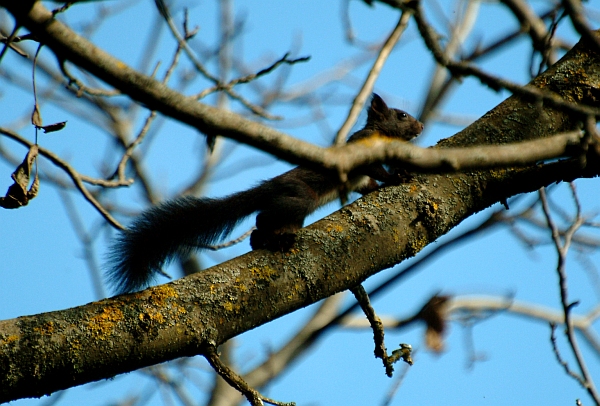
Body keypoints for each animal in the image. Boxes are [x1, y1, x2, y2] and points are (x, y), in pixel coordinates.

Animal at [108, 93, 424, 294]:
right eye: (401, 115)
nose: (420, 126)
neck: (382, 138)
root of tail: (268, 186)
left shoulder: (358, 178)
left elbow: (365, 184)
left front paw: (381, 184)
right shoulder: (361, 150)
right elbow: (374, 169)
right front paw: (396, 176)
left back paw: (270, 240)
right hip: (299, 197)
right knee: (261, 218)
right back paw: (273, 239)